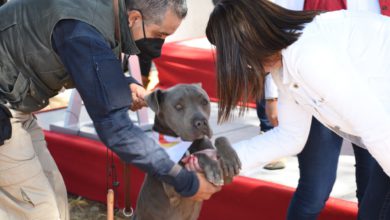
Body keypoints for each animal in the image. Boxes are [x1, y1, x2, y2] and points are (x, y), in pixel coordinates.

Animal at [136, 84, 242, 220]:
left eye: (204, 102)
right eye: (178, 106)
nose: (201, 122)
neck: (187, 144)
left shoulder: (227, 177)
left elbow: (221, 138)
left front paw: (230, 158)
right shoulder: (172, 186)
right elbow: (198, 154)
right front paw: (212, 168)